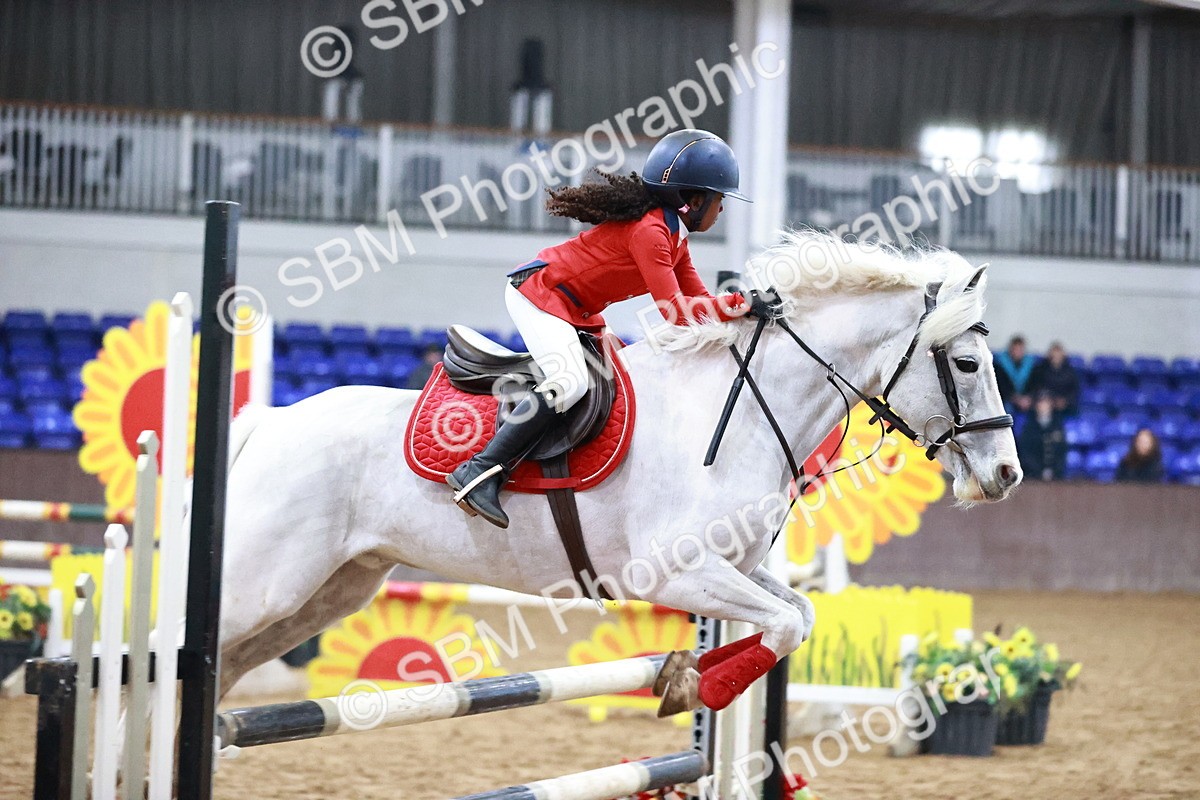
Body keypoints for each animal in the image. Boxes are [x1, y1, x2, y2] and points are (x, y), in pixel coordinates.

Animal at [214, 231, 1022, 712]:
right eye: (967, 363)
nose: (1008, 474)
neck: (742, 410)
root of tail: (273, 420)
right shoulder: (675, 574)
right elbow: (786, 625)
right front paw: (693, 687)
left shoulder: (735, 568)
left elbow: (797, 616)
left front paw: (684, 677)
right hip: (266, 583)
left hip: (333, 590)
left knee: (225, 665)